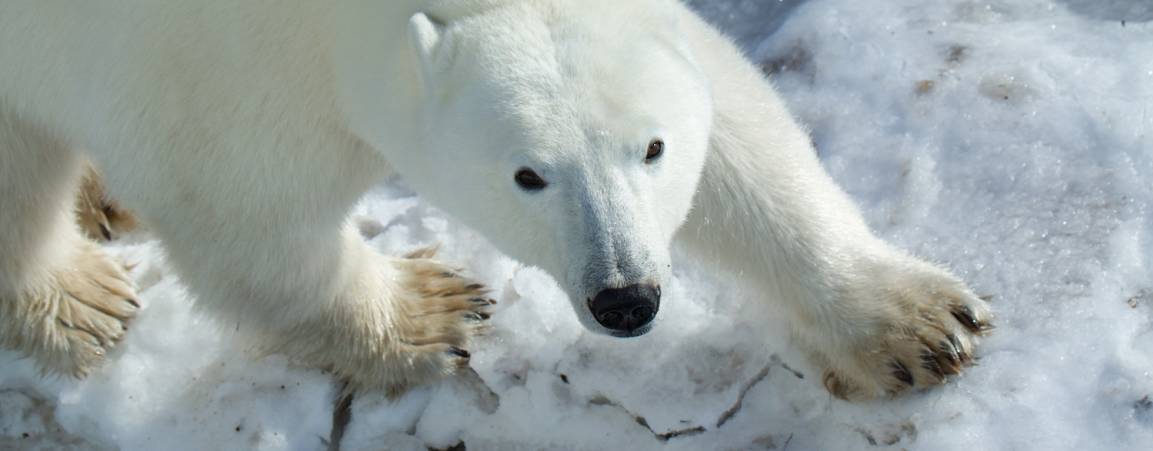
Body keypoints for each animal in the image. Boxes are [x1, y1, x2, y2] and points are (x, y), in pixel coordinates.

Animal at [0, 0, 992, 400]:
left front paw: (917, 326)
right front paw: (428, 311)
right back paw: (77, 297)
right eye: (527, 174)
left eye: (653, 148)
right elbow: (245, 214)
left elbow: (735, 125)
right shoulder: (213, 64)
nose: (627, 298)